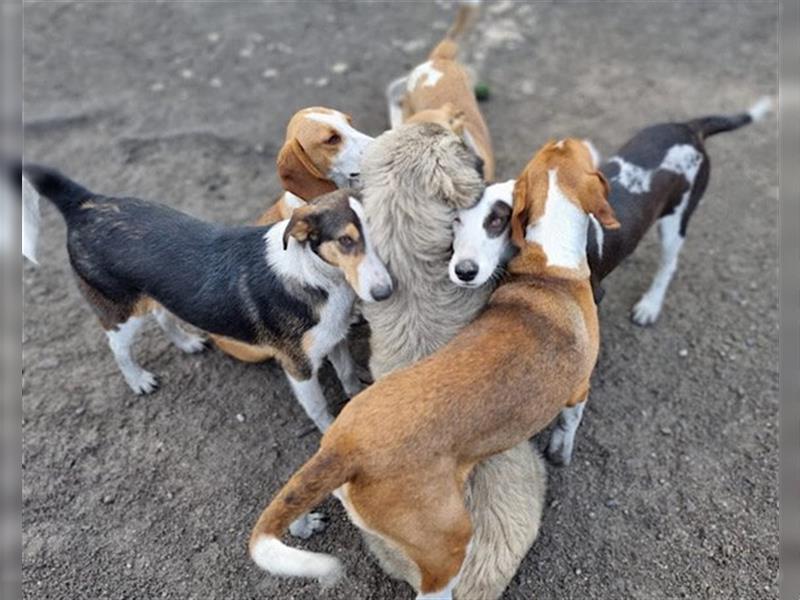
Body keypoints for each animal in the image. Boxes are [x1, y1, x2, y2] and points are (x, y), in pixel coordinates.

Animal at [20, 165, 392, 432]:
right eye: (345, 241)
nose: (385, 293)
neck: (315, 274)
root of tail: (85, 202)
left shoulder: (335, 339)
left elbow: (348, 376)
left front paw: (359, 401)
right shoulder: (298, 367)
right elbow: (319, 409)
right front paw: (331, 431)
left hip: (156, 293)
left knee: (163, 314)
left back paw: (186, 343)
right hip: (121, 310)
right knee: (118, 347)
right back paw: (138, 380)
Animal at [248, 137, 620, 600]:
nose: (566, 139)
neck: (549, 263)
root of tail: (346, 449)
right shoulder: (578, 390)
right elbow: (569, 426)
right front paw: (561, 451)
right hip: (449, 543)